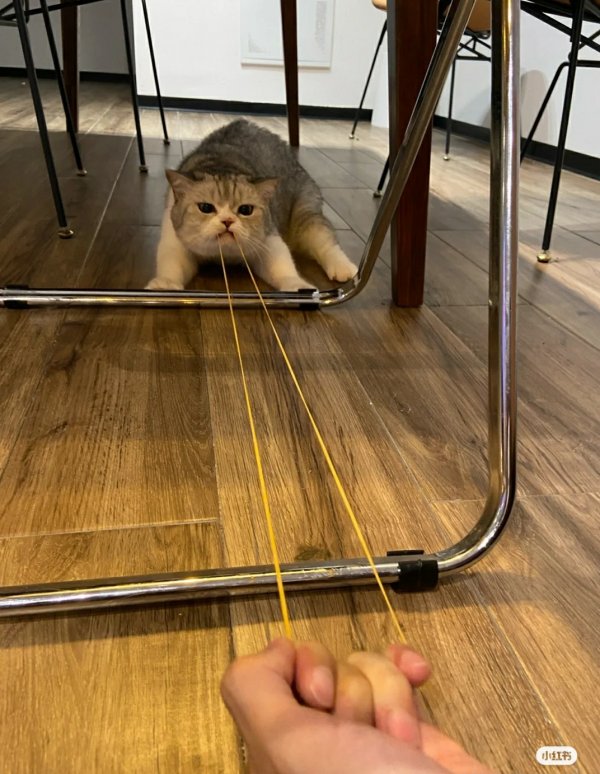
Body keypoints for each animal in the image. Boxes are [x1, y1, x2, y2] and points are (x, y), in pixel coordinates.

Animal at [145, 119, 358, 292]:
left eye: (245, 210)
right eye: (205, 207)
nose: (227, 221)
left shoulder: (269, 242)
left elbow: (283, 267)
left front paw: (298, 286)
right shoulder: (174, 242)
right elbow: (172, 264)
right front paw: (164, 284)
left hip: (305, 214)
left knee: (325, 240)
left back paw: (344, 268)